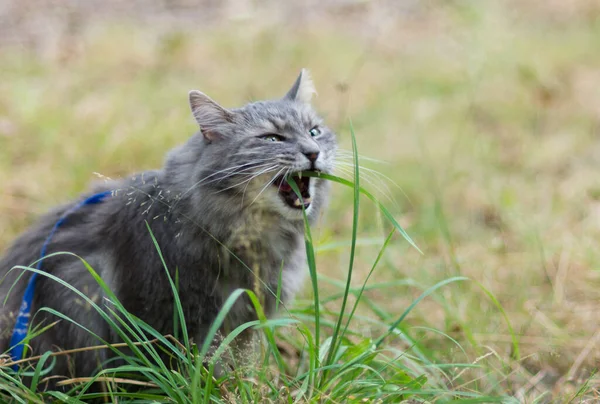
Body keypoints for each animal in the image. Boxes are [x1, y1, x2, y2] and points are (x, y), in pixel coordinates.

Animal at [0, 70, 338, 386]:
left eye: (314, 131)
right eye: (271, 139)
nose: (312, 152)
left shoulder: (244, 321)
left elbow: (237, 366)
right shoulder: (169, 316)